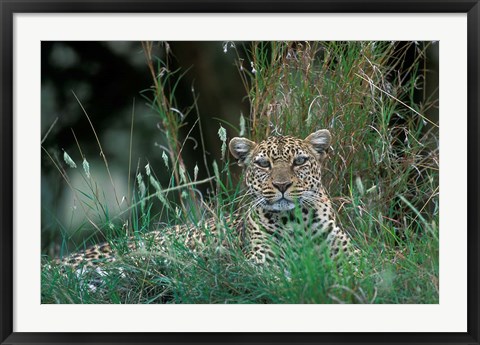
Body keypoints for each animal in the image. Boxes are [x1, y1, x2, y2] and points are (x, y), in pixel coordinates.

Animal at [53, 129, 356, 268]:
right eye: (263, 164)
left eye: (300, 161)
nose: (282, 185)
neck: (295, 221)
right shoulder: (258, 263)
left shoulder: (353, 259)